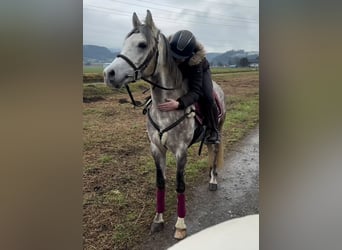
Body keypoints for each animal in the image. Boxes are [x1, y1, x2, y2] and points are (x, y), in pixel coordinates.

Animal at [104, 10, 227, 240]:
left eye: (142, 44)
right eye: (125, 41)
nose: (109, 74)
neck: (164, 107)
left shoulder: (180, 152)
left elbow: (180, 185)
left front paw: (180, 225)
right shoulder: (156, 149)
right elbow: (160, 182)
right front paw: (158, 219)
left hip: (218, 130)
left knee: (214, 151)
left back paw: (213, 180)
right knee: (208, 150)